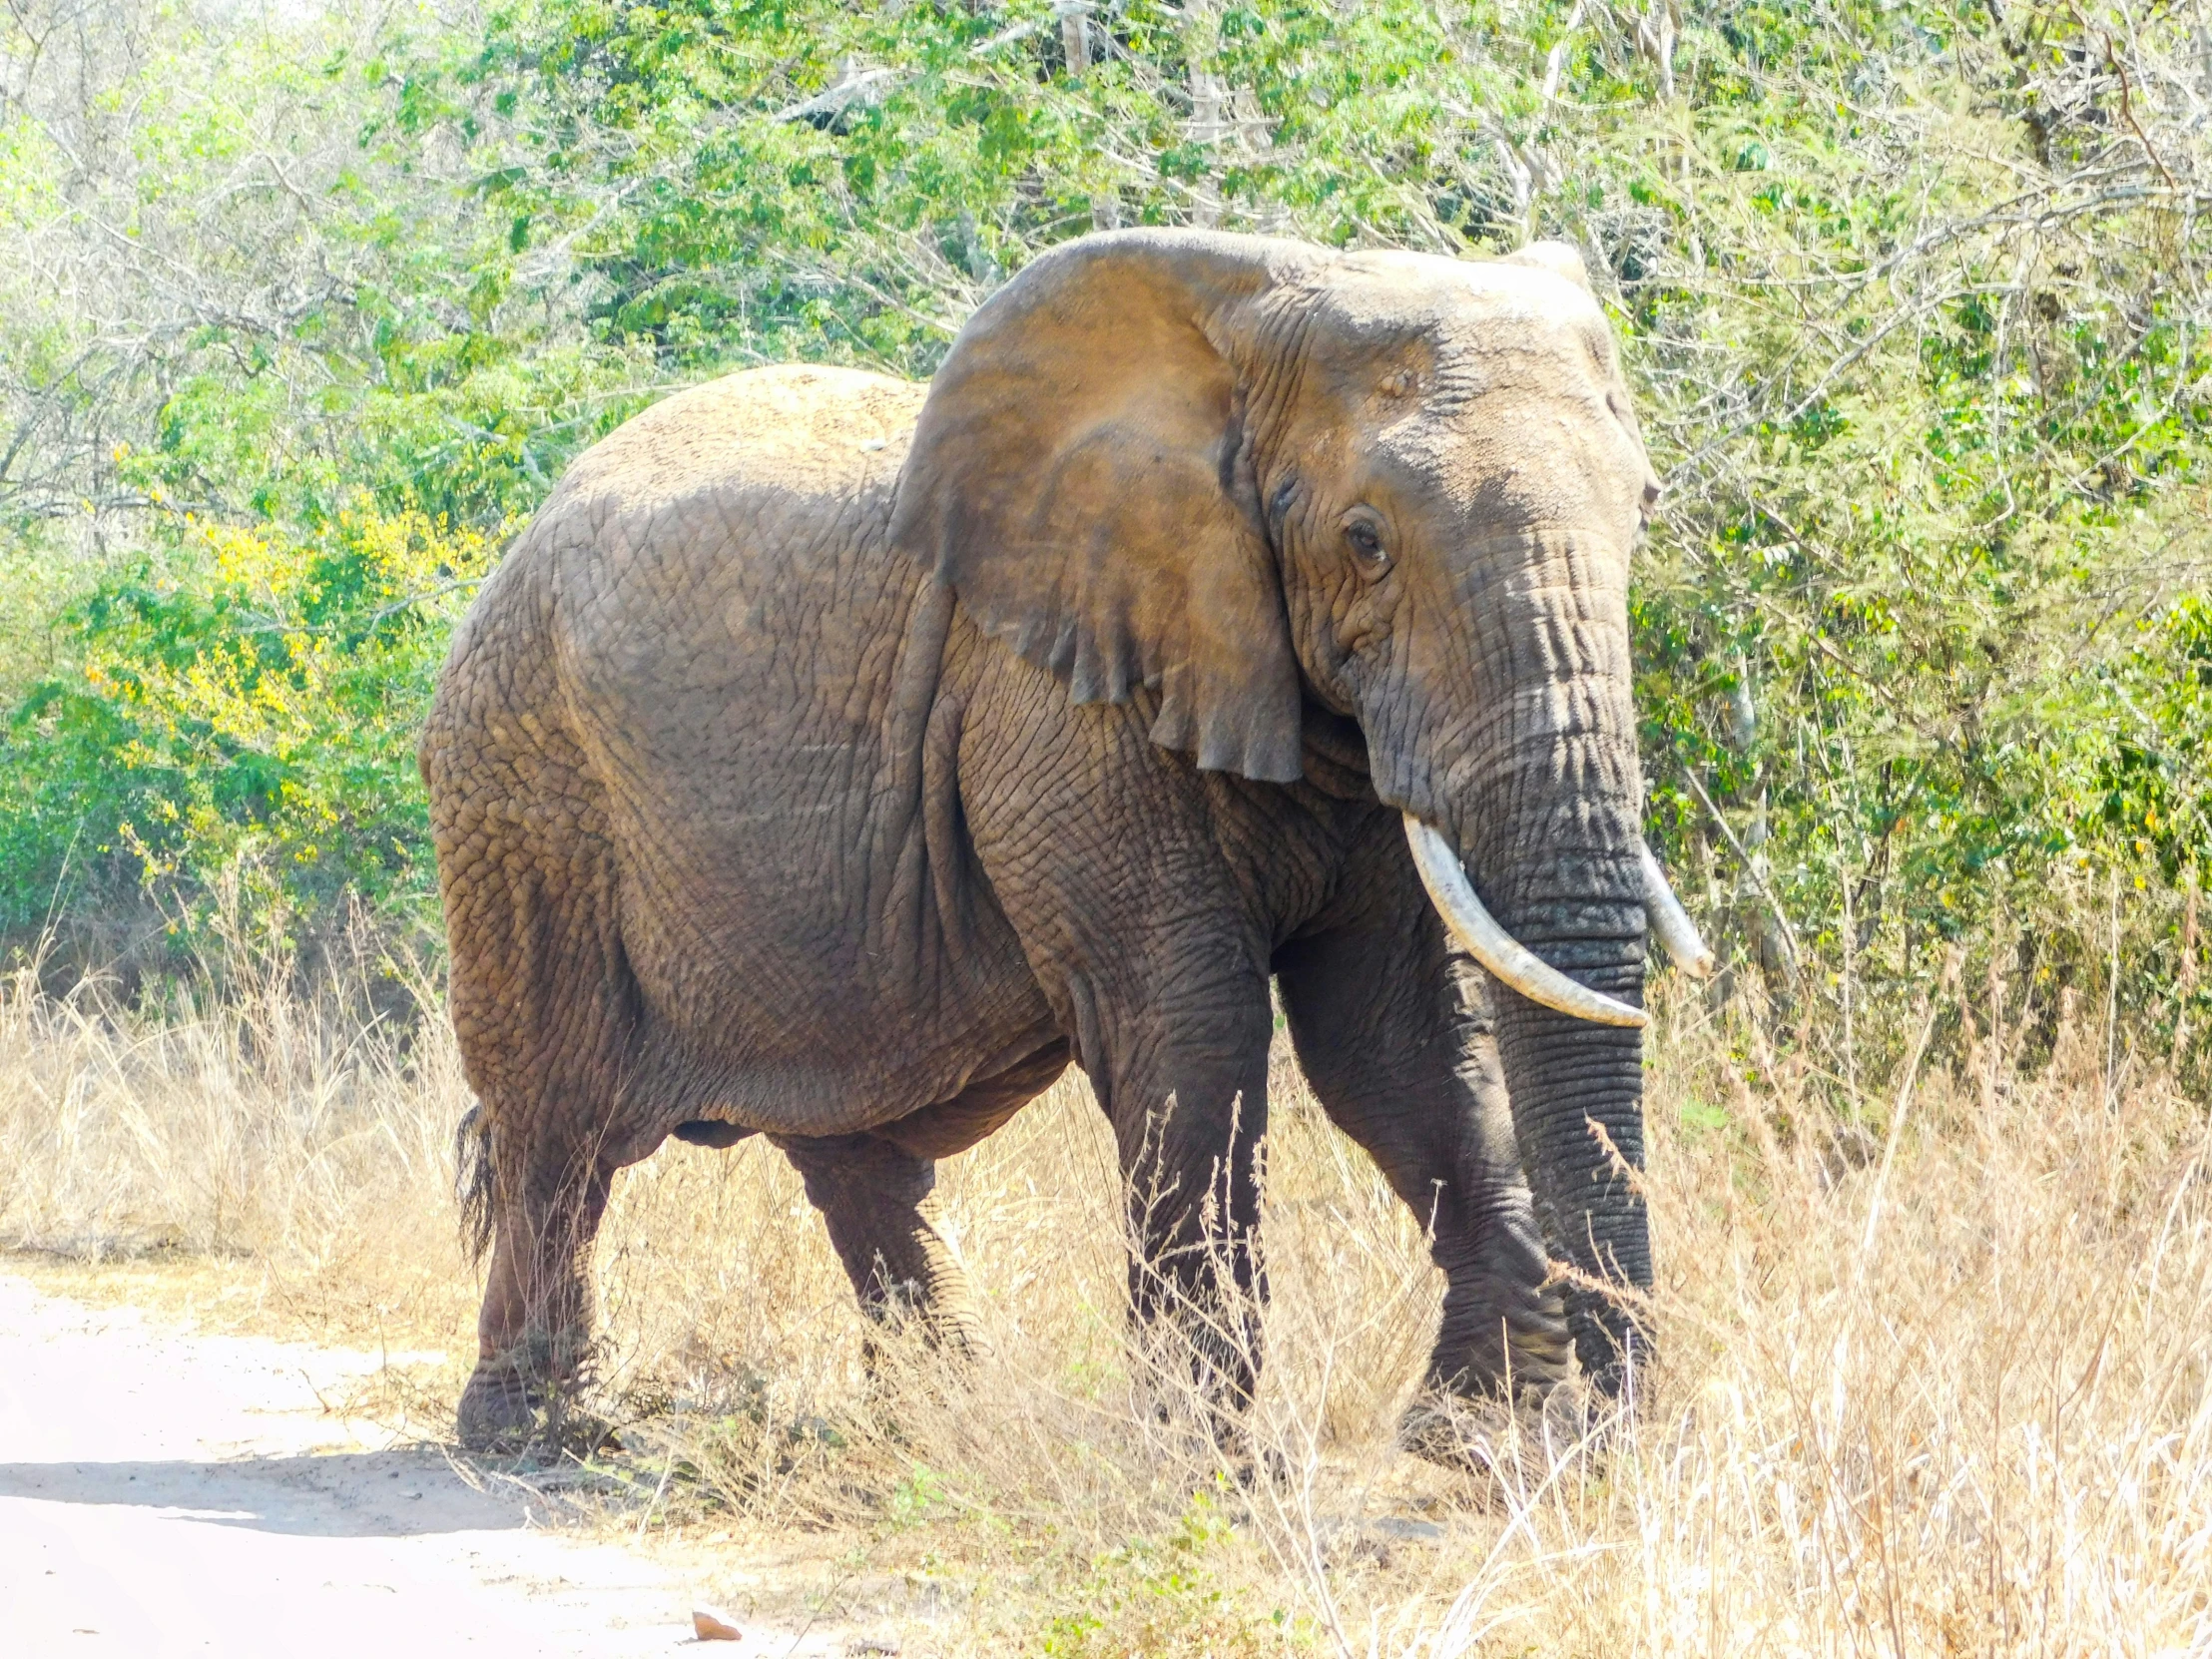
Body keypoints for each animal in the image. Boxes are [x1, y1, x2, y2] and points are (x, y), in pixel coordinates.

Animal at [417, 224, 1707, 1450]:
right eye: (1364, 540)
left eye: (1641, 515)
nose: (1609, 1439)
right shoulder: (1062, 705)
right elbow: (1191, 1029)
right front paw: (1207, 1469)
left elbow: (1391, 1043)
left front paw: (1464, 1432)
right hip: (522, 791)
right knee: (558, 1123)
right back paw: (535, 1430)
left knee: (848, 1145)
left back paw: (939, 1423)